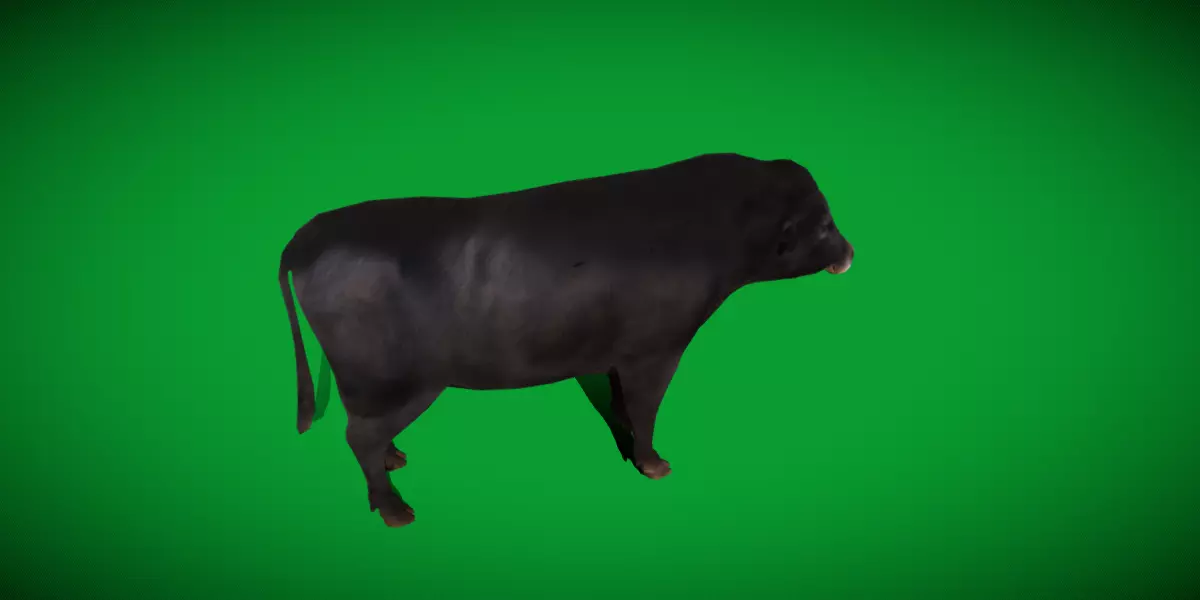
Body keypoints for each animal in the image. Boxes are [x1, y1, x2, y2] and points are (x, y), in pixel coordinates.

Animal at [278, 153, 854, 527]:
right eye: (825, 225)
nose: (850, 252)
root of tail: (302, 240)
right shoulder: (657, 347)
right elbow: (646, 407)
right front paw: (656, 466)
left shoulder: (616, 353)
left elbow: (621, 403)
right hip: (395, 381)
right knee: (358, 436)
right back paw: (399, 512)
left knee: (366, 432)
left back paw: (397, 458)